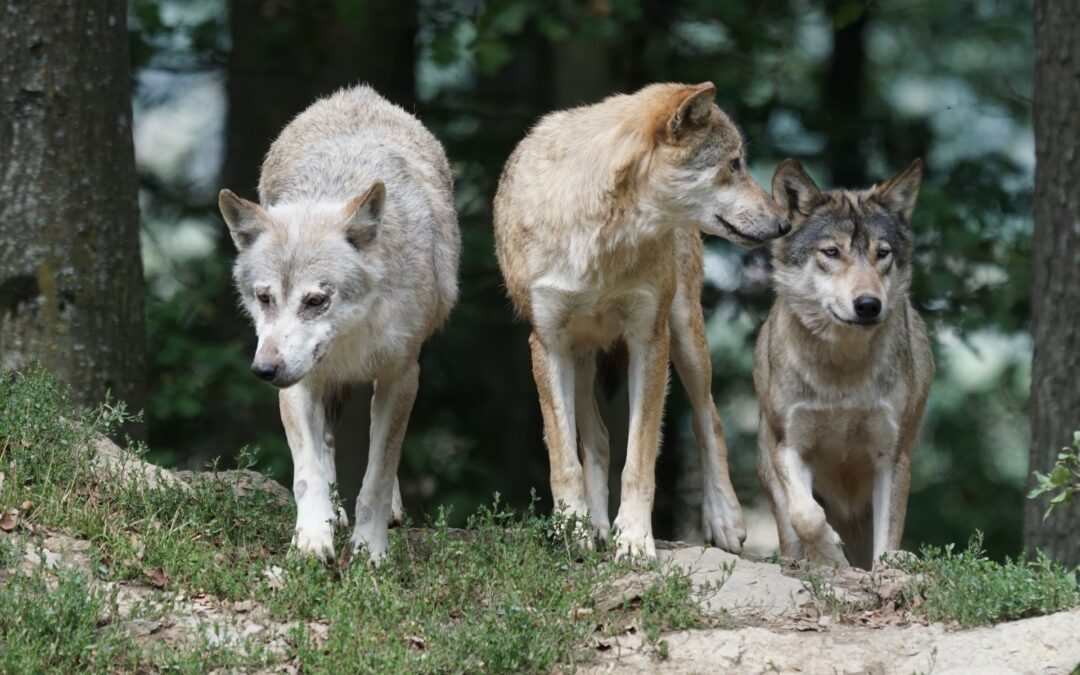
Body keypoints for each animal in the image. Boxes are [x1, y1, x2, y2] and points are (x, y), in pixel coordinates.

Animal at [217, 86, 460, 563]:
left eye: (316, 301)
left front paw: (370, 550)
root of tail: (356, 93)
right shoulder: (298, 383)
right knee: (327, 443)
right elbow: (307, 472)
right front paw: (313, 538)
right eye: (265, 298)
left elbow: (378, 475)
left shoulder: (402, 375)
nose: (264, 370)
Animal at [493, 82, 790, 559]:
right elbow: (564, 459)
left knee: (708, 417)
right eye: (734, 164)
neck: (602, 238)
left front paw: (633, 539)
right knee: (597, 438)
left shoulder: (649, 340)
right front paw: (573, 531)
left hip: (685, 336)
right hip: (580, 357)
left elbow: (640, 459)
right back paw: (595, 527)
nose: (784, 223)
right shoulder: (547, 344)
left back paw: (724, 521)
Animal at [754, 158, 934, 569]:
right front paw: (830, 557)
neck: (842, 372)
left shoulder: (891, 456)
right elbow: (806, 515)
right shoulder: (789, 444)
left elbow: (888, 542)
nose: (868, 305)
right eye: (832, 252)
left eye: (882, 253)